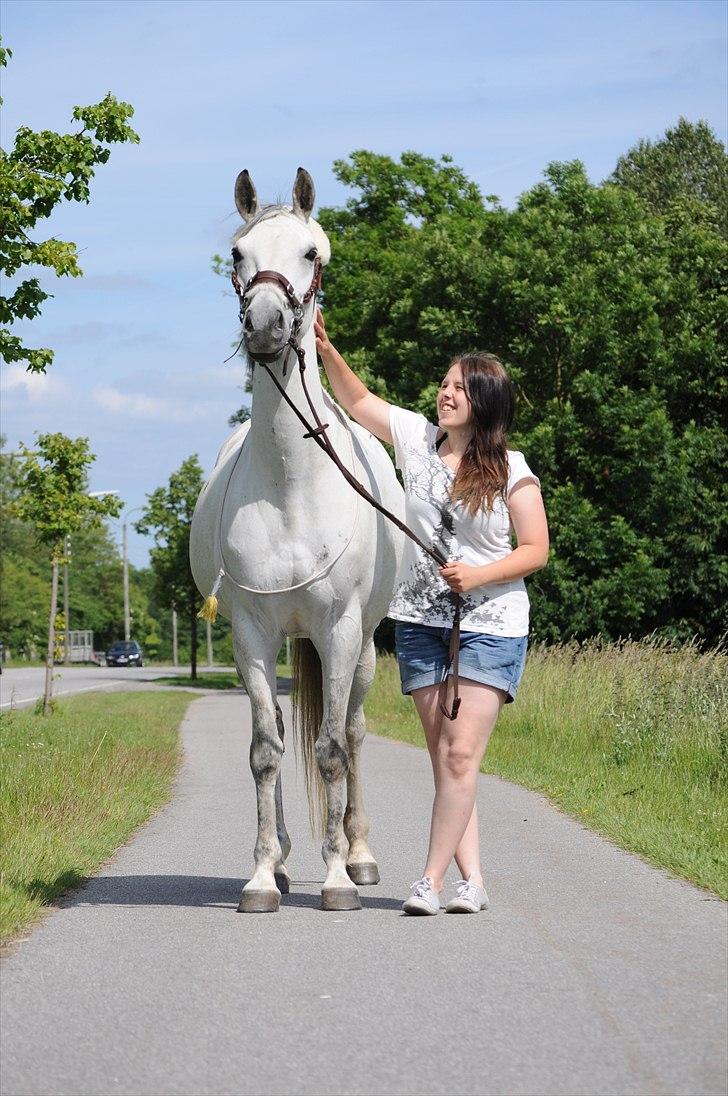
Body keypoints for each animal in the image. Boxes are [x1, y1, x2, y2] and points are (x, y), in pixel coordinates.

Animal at [188, 166, 403, 911]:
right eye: (237, 253)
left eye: (311, 252)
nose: (265, 326)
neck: (288, 488)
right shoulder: (251, 632)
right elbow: (265, 749)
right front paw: (261, 876)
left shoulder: (339, 629)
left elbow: (333, 750)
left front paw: (338, 878)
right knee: (281, 734)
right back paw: (282, 859)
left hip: (361, 647)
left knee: (356, 732)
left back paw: (361, 855)